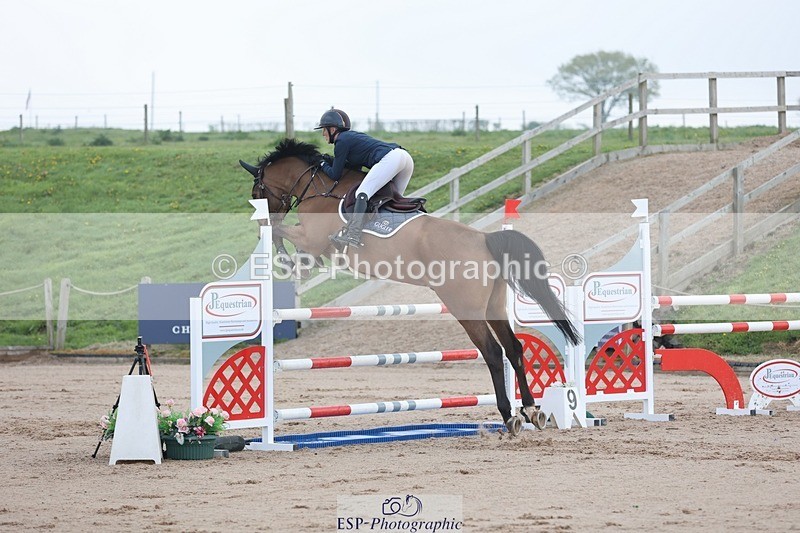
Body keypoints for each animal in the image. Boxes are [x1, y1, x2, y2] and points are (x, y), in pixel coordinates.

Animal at [240, 138, 581, 435]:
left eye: (257, 189)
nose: (255, 227)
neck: (319, 189)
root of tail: (485, 239)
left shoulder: (312, 237)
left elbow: (280, 230)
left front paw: (283, 255)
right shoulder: (314, 244)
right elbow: (292, 242)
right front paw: (294, 261)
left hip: (466, 308)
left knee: (493, 353)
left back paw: (509, 416)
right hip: (494, 305)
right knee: (514, 348)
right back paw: (531, 410)